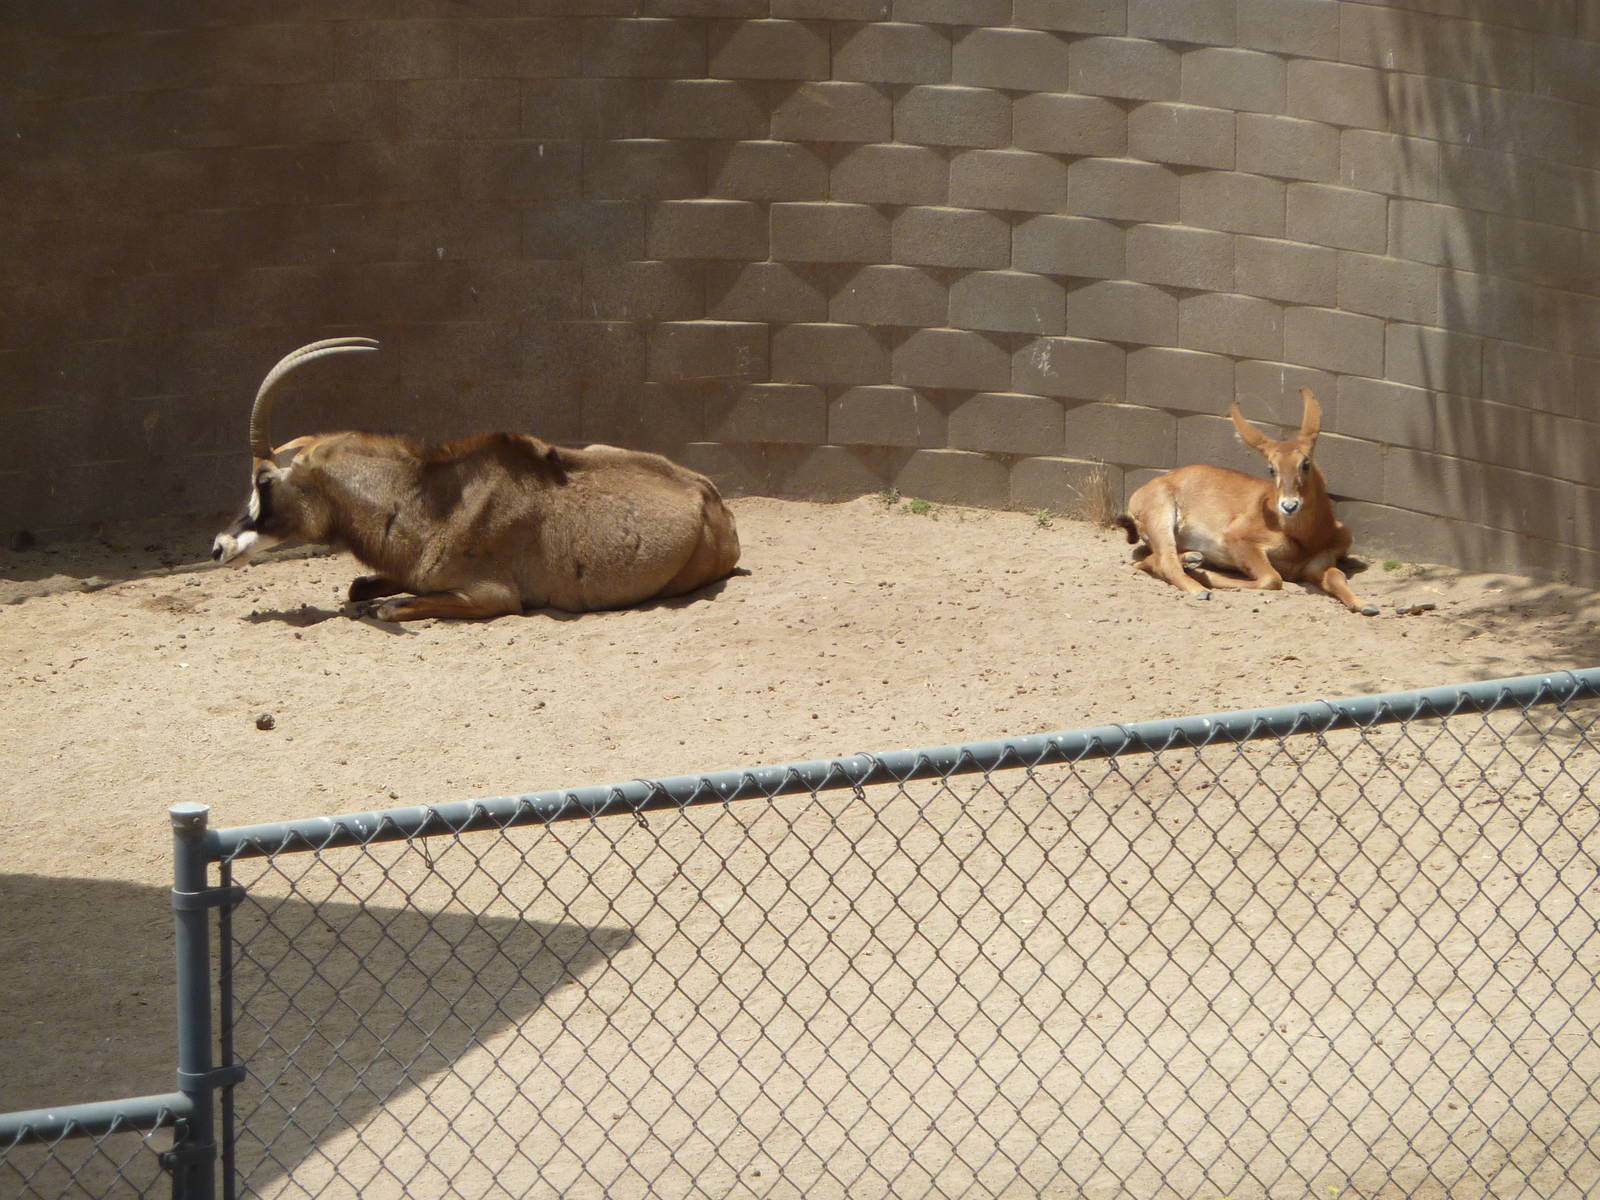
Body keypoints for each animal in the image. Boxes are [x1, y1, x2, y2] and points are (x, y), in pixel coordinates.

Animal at [212, 338, 741, 621]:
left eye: (264, 482)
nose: (219, 546)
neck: (427, 504)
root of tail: (713, 501)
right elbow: (360, 588)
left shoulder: (492, 597)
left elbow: (392, 606)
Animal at [1115, 388, 1378, 615]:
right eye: (1271, 468)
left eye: (1305, 463)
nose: (1289, 506)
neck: (1306, 538)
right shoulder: (1238, 539)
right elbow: (1272, 579)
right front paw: (1204, 577)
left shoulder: (1316, 566)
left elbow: (1336, 576)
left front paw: (1365, 605)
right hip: (1161, 514)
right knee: (1164, 561)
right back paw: (1199, 587)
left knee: (1151, 560)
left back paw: (1192, 560)